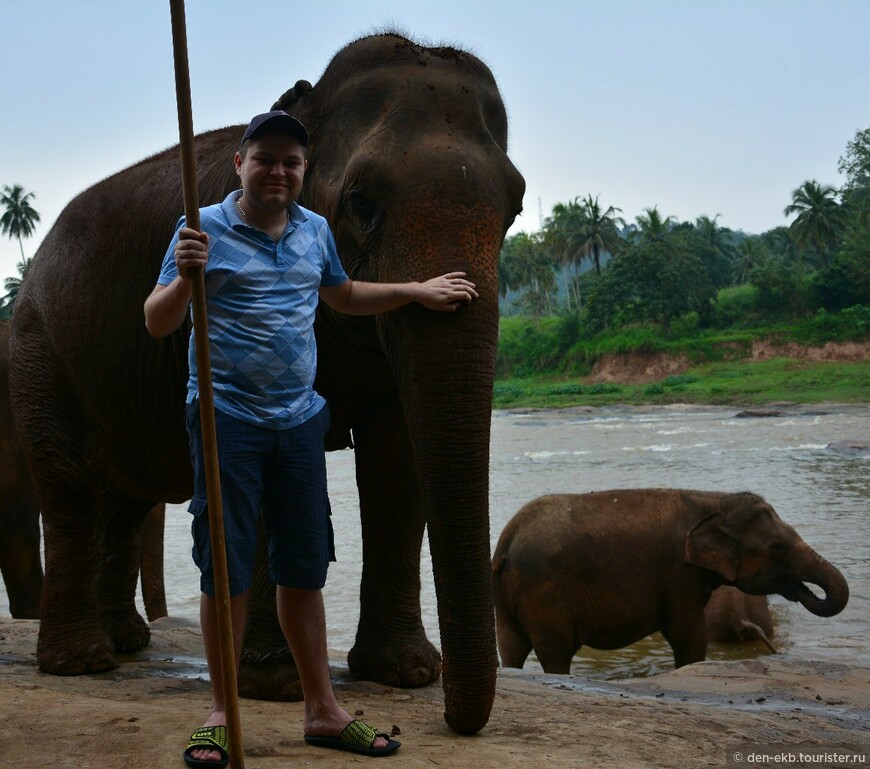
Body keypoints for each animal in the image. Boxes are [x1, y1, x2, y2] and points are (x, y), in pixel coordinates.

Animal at [8, 33, 524, 736]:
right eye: (361, 202)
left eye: (516, 207)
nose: (455, 722)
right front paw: (274, 686)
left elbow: (396, 463)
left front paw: (406, 673)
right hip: (38, 352)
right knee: (70, 487)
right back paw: (82, 663)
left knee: (126, 495)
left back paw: (126, 643)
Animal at [498, 486, 852, 672]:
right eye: (777, 547)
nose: (801, 590)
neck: (715, 501)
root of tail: (509, 537)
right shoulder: (678, 573)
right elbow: (689, 636)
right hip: (545, 595)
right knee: (555, 653)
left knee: (512, 649)